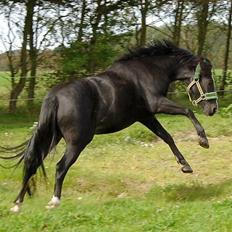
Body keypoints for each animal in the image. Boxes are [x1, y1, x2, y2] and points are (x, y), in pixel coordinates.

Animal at [0, 40, 218, 212]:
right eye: (208, 79)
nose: (213, 108)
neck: (148, 70)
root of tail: (55, 97)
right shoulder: (156, 104)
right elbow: (188, 111)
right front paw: (203, 141)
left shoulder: (145, 116)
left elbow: (167, 137)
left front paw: (185, 165)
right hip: (78, 142)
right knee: (60, 167)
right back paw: (54, 201)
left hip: (51, 138)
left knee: (32, 163)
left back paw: (17, 204)